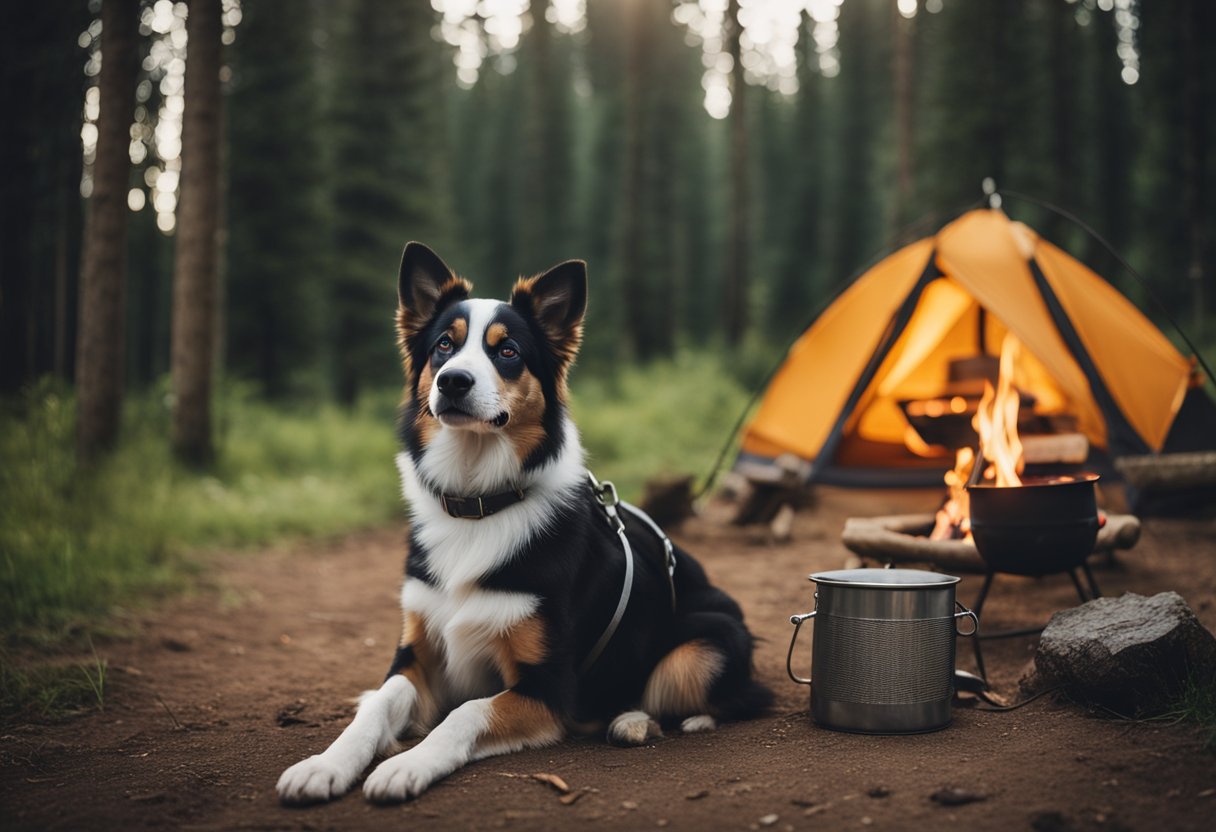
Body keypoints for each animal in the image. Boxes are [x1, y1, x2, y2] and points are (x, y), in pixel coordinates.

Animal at [276, 243, 768, 802]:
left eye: (507, 351)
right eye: (444, 346)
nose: (453, 381)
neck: (479, 501)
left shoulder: (547, 687)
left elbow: (466, 713)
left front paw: (407, 766)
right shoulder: (417, 658)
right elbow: (379, 704)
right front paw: (324, 764)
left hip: (706, 642)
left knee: (727, 697)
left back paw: (634, 721)